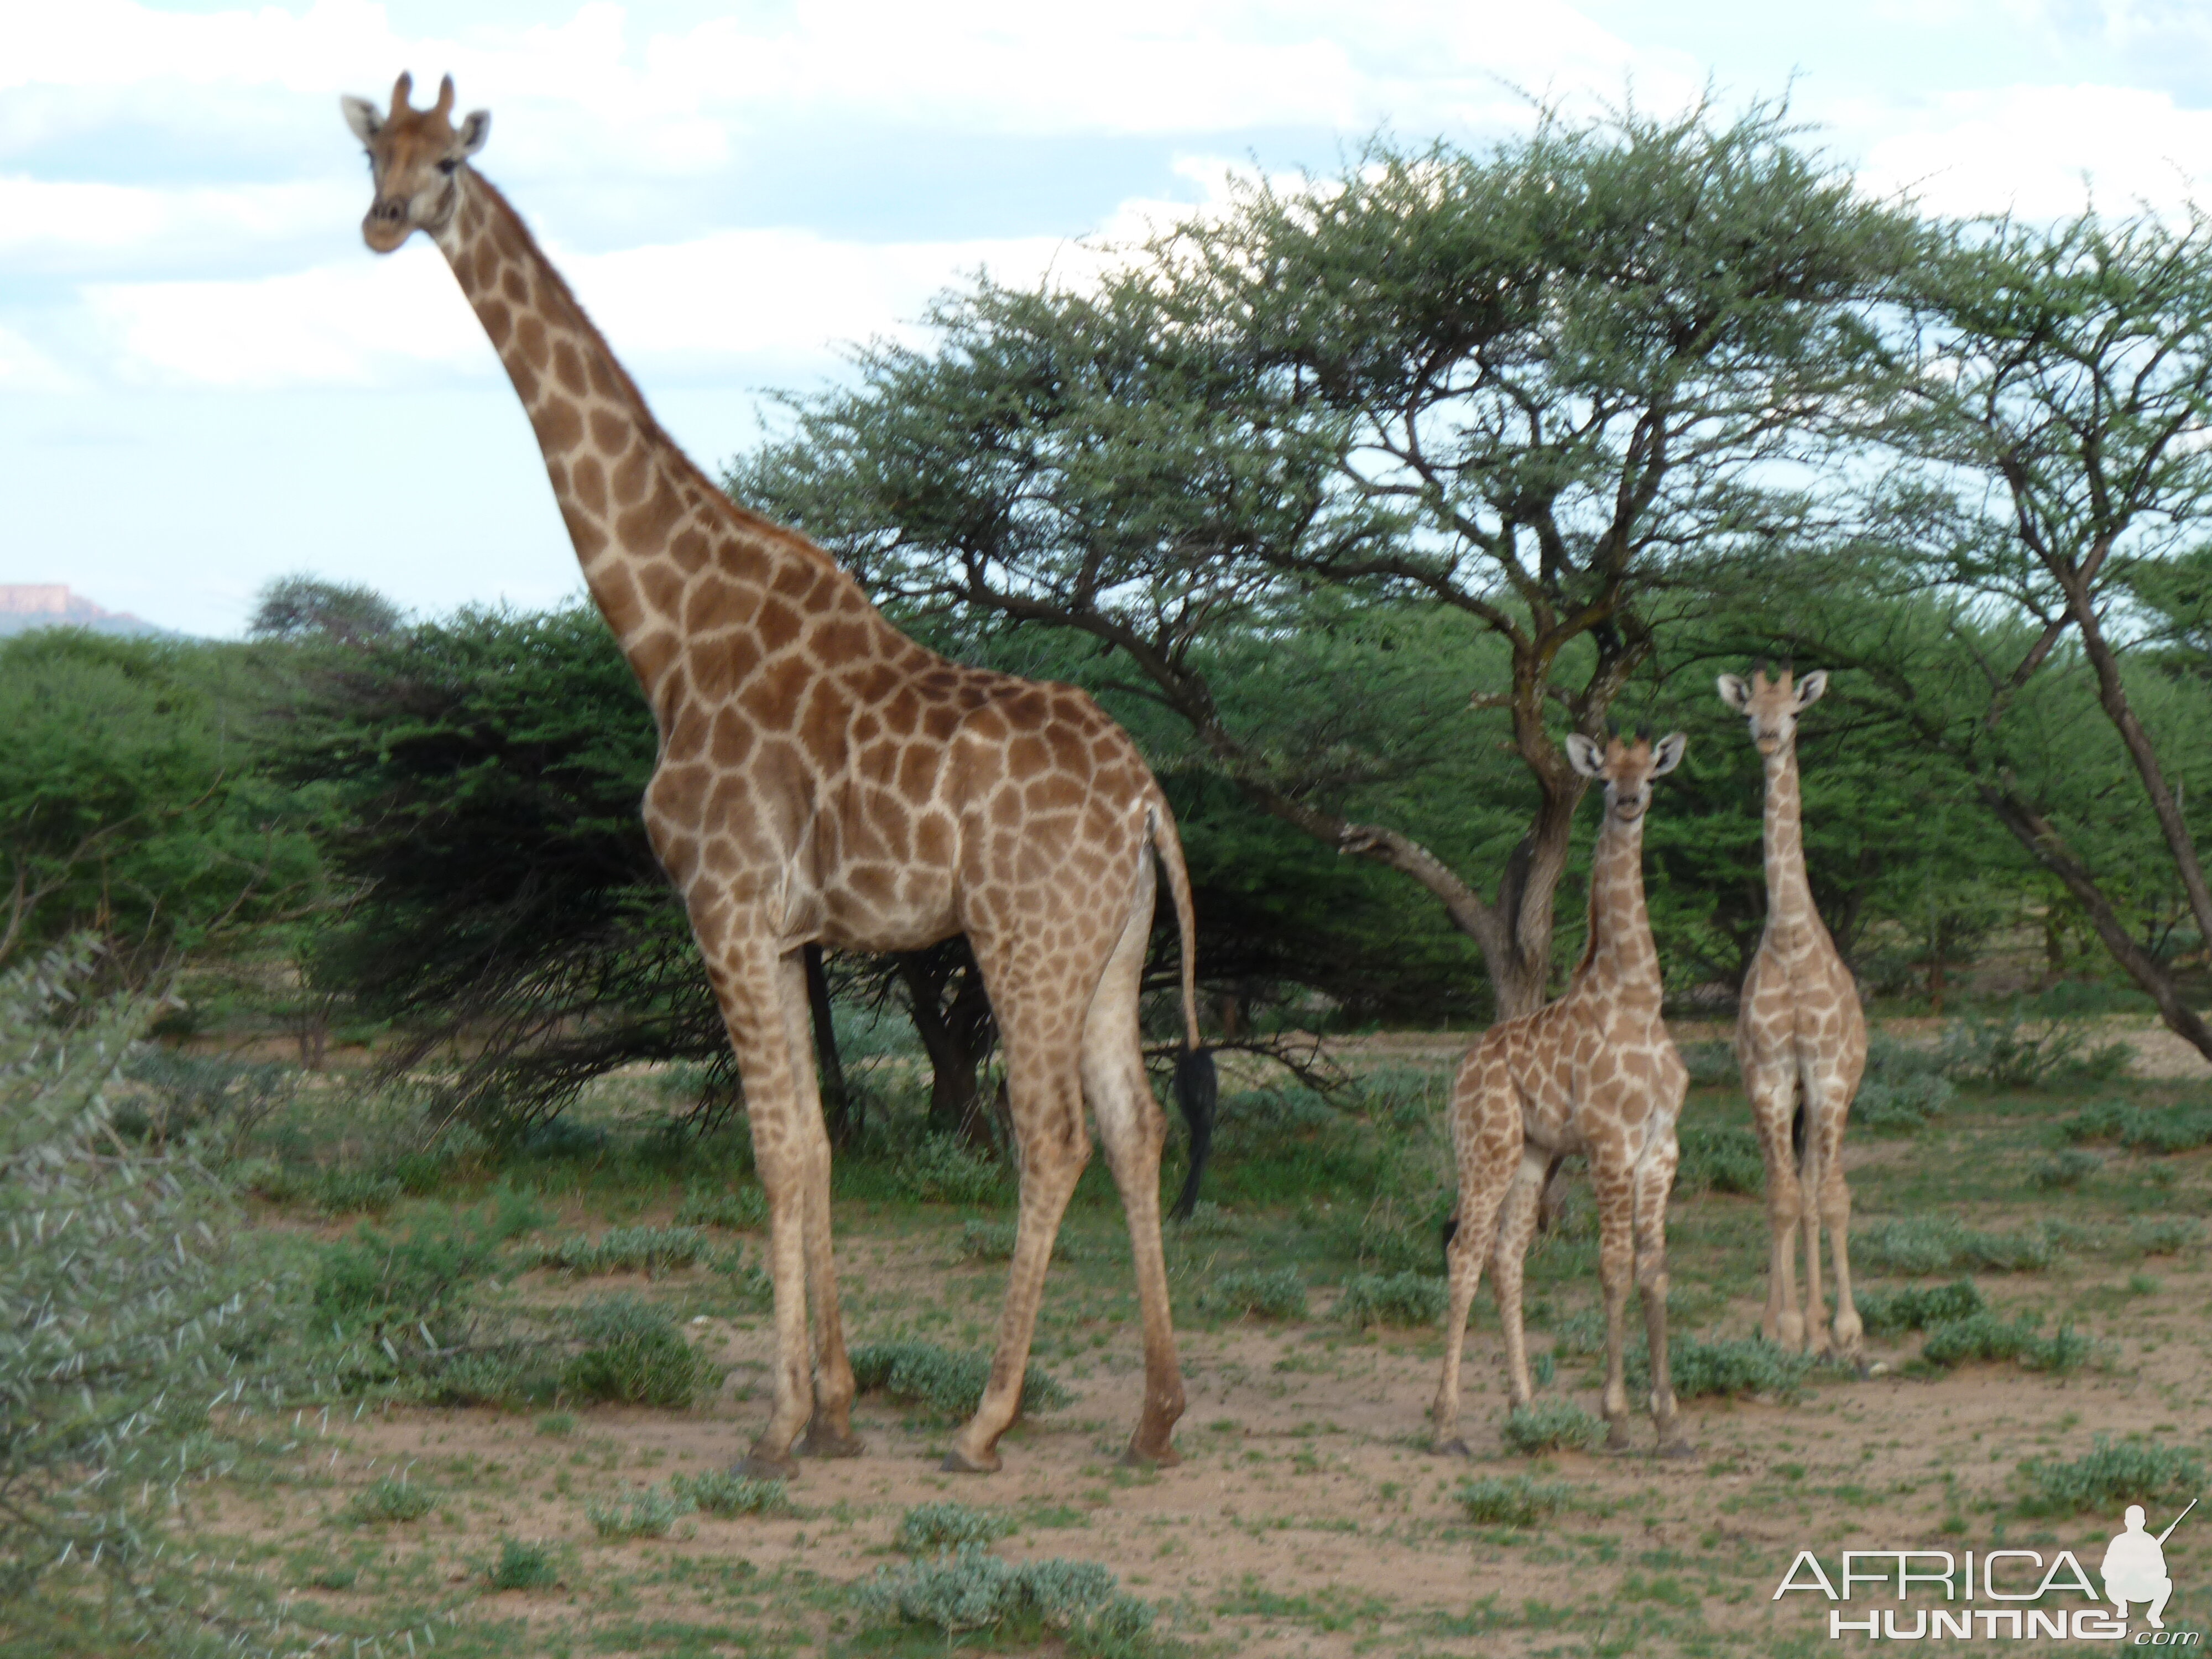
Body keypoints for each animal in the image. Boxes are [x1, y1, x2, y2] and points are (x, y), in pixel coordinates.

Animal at [343, 75, 1221, 1478]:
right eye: (374, 152)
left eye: (446, 167)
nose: (381, 221)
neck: (664, 628)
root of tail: (1146, 797)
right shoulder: (795, 932)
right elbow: (816, 1144)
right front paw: (838, 1409)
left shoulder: (725, 909)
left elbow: (773, 1148)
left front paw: (775, 1424)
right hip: (1111, 944)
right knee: (1135, 1130)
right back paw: (1152, 1416)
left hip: (1023, 937)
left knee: (1054, 1137)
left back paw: (985, 1419)